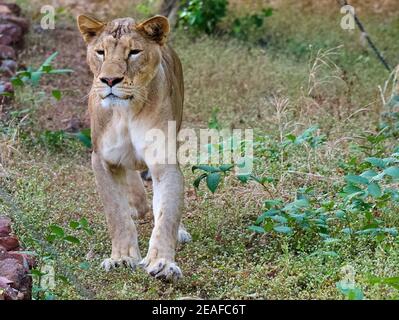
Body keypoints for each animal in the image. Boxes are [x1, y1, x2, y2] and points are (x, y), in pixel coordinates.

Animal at [77, 13, 192, 282]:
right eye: (100, 52)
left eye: (134, 52)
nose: (110, 80)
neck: (125, 112)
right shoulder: (102, 160)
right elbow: (116, 215)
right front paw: (122, 258)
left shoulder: (164, 161)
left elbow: (167, 214)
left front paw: (162, 263)